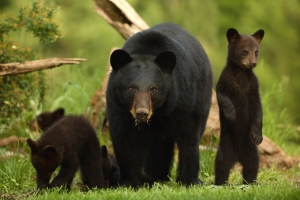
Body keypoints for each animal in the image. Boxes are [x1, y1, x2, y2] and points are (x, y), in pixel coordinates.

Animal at [106, 22, 212, 188]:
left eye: (153, 89)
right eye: (131, 88)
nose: (142, 113)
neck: (158, 112)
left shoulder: (183, 100)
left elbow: (189, 136)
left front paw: (189, 181)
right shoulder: (118, 106)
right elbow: (124, 138)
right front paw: (129, 182)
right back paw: (155, 176)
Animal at [214, 27, 264, 184]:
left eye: (256, 51)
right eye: (244, 51)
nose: (253, 63)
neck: (241, 73)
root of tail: (238, 156)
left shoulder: (253, 87)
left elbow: (257, 109)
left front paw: (257, 135)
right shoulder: (225, 80)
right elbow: (222, 96)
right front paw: (231, 114)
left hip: (252, 151)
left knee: (252, 166)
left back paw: (250, 183)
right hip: (225, 147)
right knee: (222, 166)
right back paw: (220, 184)